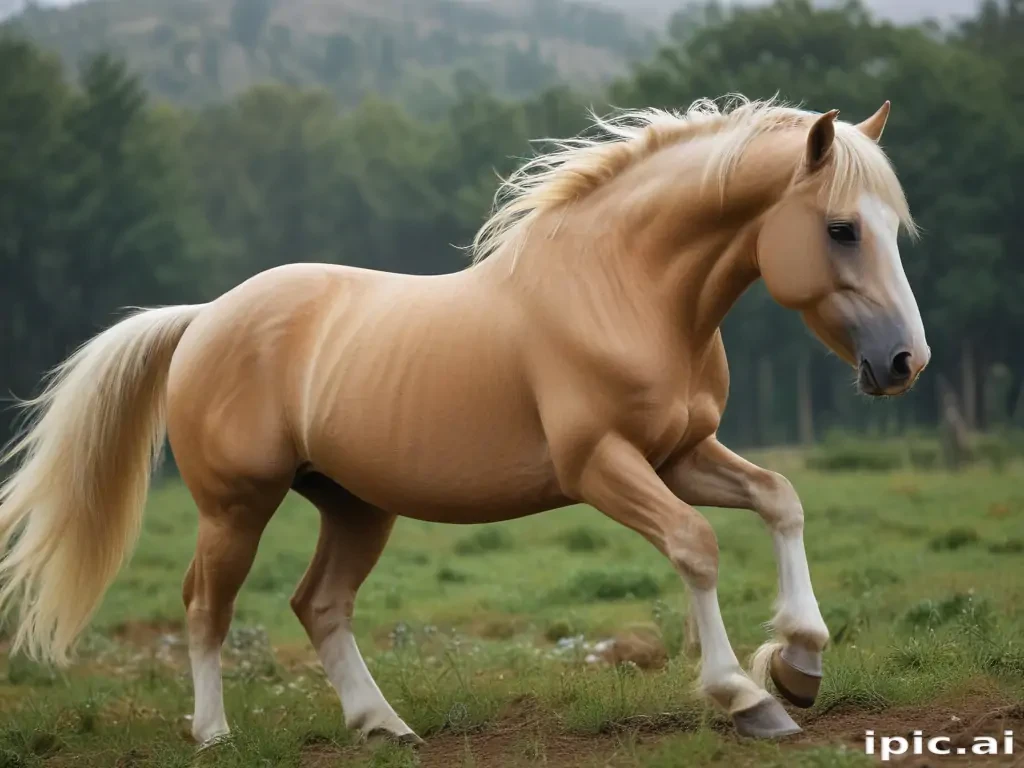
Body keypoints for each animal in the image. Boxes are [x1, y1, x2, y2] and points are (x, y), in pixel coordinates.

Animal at [0, 95, 928, 745]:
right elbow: (695, 545)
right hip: (236, 506)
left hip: (354, 505)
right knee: (205, 607)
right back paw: (216, 734)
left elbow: (780, 498)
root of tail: (203, 318)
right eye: (841, 228)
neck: (625, 292)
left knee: (320, 604)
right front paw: (745, 696)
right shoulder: (603, 466)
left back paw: (382, 726)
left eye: (893, 227)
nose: (904, 362)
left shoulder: (679, 454)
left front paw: (800, 661)